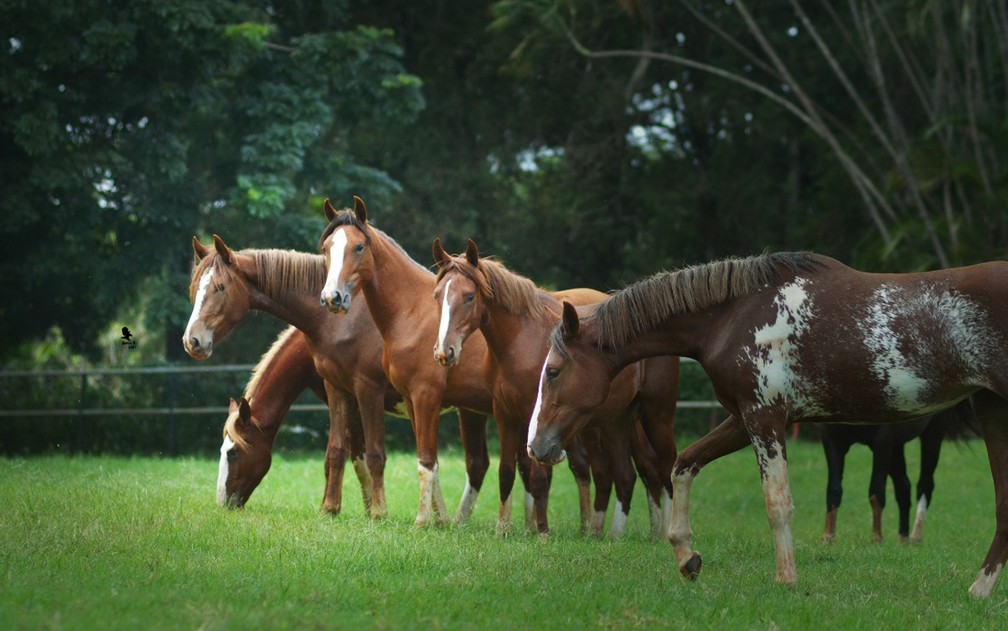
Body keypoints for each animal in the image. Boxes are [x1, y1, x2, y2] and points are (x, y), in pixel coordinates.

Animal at [187, 233, 493, 520]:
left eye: (234, 452)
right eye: (195, 288)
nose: (192, 340)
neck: (339, 322)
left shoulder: (368, 392)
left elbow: (371, 454)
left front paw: (378, 512)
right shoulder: (343, 394)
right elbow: (344, 453)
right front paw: (344, 509)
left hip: (471, 411)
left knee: (477, 464)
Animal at [318, 196, 592, 532]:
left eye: (358, 247)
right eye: (327, 247)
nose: (333, 297)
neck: (410, 313)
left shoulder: (423, 397)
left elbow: (423, 461)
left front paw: (422, 521)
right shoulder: (412, 401)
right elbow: (430, 460)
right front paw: (441, 520)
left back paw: (587, 527)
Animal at [429, 237, 681, 532]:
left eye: (469, 296)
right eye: (437, 295)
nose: (444, 351)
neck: (519, 342)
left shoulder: (537, 418)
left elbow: (539, 477)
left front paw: (541, 532)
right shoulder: (505, 413)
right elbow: (506, 473)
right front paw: (503, 530)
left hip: (657, 414)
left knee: (663, 467)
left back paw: (663, 532)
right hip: (614, 421)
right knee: (627, 472)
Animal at [818, 397, 975, 540]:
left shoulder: (882, 441)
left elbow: (877, 491)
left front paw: (876, 540)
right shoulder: (832, 441)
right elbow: (834, 490)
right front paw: (828, 538)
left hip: (933, 432)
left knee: (925, 485)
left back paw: (915, 537)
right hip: (897, 446)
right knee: (904, 486)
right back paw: (903, 538)